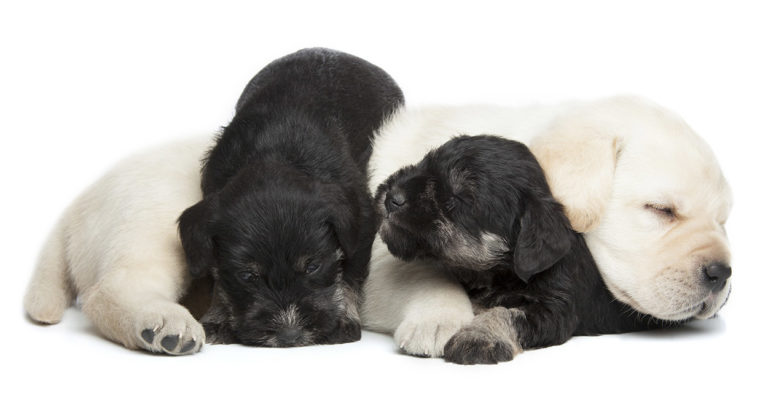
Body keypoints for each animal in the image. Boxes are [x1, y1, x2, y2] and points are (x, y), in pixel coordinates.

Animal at [178, 47, 404, 346]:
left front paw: (344, 317)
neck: (275, 153)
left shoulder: (362, 226)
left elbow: (350, 274)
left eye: (313, 266)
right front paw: (218, 316)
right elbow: (218, 277)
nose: (289, 335)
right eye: (247, 276)